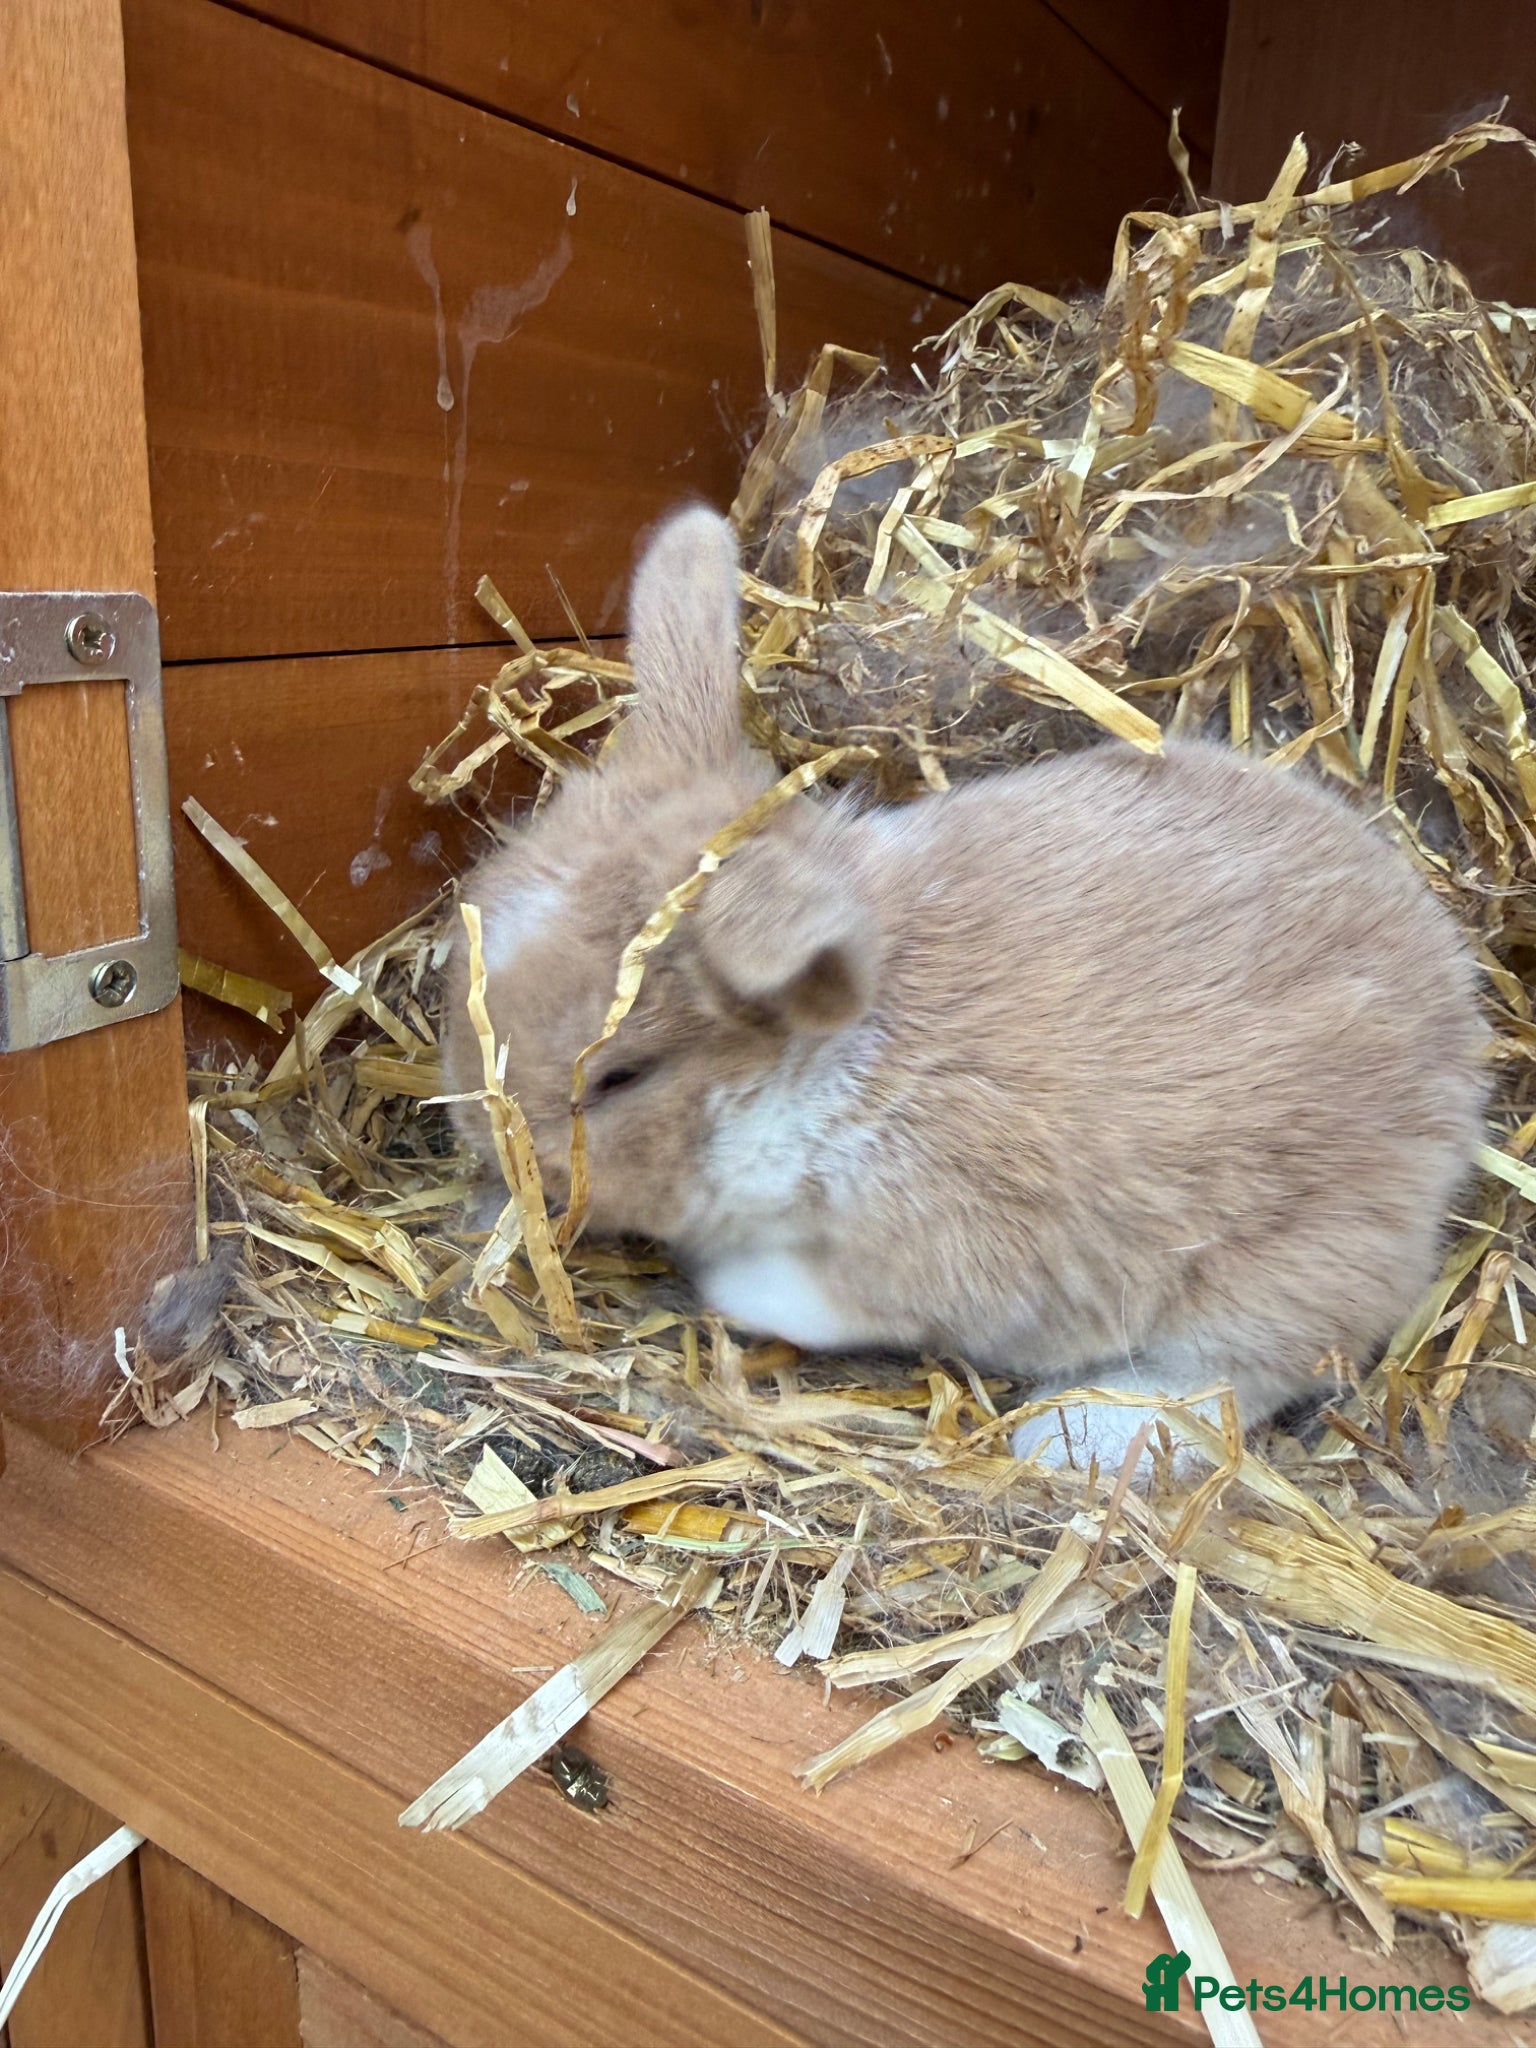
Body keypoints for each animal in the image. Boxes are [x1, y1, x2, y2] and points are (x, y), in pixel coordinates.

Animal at [445, 502, 1488, 1471]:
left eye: (620, 1077)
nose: (483, 1147)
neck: (829, 1072)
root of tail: (1463, 1035)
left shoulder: (953, 1241)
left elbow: (829, 1300)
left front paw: (729, 1284)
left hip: (1294, 1268)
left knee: (1240, 1375)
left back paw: (1074, 1439)